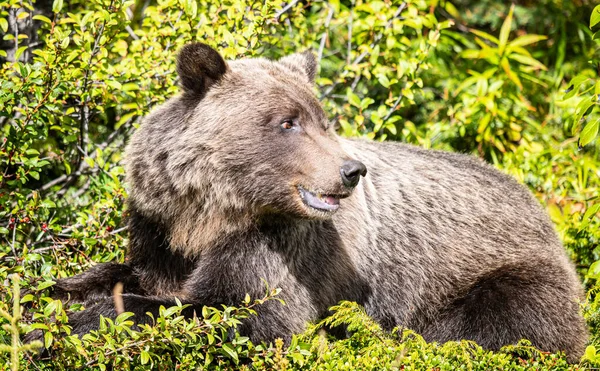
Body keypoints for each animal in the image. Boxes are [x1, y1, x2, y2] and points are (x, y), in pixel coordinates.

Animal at [48, 42, 584, 362]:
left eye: (322, 119)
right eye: (288, 122)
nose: (351, 171)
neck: (212, 213)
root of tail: (535, 203)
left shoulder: (280, 245)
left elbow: (241, 312)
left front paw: (76, 321)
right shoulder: (159, 227)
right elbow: (125, 274)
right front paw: (59, 296)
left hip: (493, 269)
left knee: (498, 321)